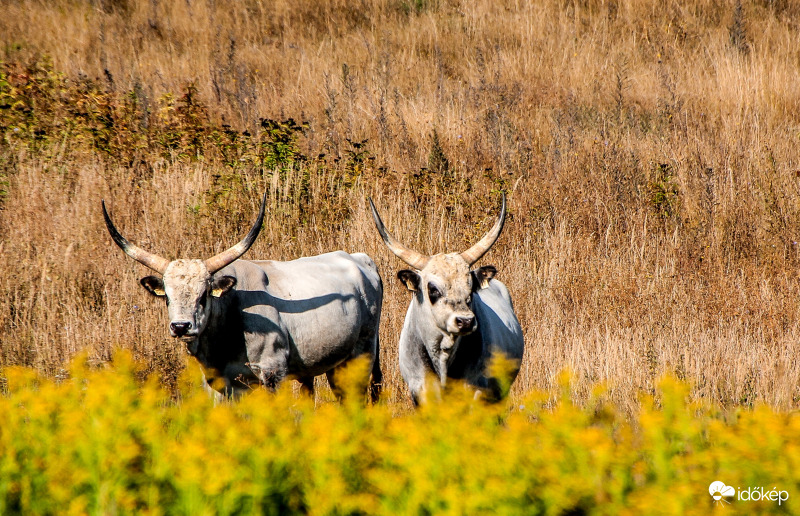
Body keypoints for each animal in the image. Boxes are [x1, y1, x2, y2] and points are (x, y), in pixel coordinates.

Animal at [102, 196, 382, 402]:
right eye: (167, 297)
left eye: (204, 295)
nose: (181, 326)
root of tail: (359, 258)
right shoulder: (218, 383)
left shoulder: (272, 373)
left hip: (361, 355)